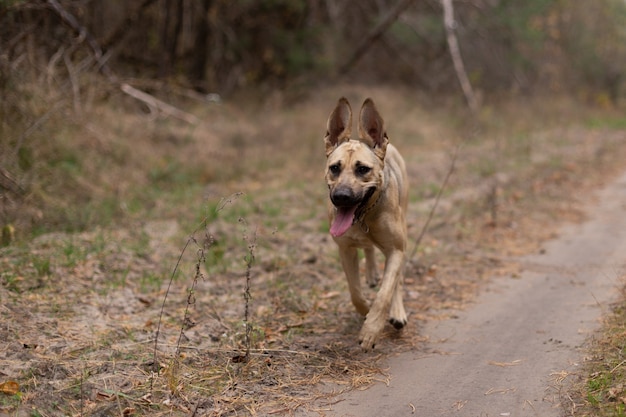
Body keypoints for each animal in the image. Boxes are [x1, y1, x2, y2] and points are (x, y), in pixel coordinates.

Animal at [322, 96, 410, 348]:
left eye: (363, 169)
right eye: (335, 168)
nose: (341, 197)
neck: (364, 217)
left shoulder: (396, 250)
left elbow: (385, 293)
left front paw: (371, 329)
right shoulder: (345, 249)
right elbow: (355, 292)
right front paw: (365, 311)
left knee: (396, 280)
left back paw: (397, 312)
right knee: (369, 251)